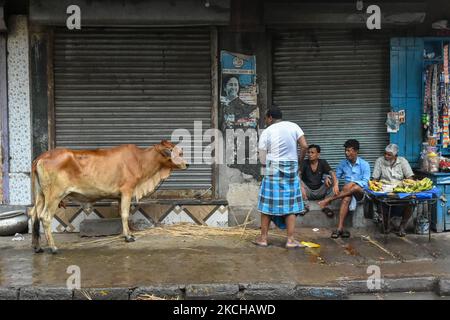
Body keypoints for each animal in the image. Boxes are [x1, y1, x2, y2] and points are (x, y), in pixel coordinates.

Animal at [29, 141, 188, 254]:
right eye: (176, 153)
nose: (187, 163)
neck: (140, 160)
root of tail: (40, 157)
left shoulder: (120, 196)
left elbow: (121, 214)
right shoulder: (127, 190)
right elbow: (125, 214)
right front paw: (129, 237)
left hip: (41, 195)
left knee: (34, 214)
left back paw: (37, 247)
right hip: (54, 195)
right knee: (45, 217)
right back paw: (53, 248)